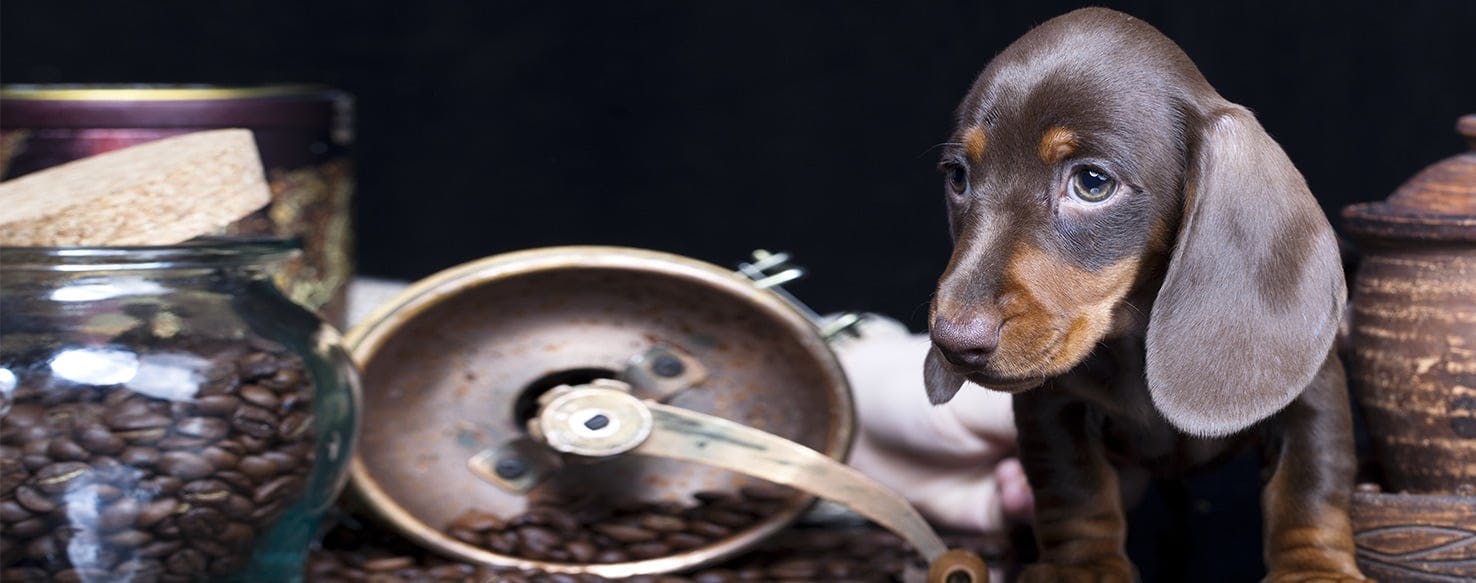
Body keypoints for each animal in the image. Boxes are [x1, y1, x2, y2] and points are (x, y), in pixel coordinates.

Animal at [926, 6, 1363, 581]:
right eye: (958, 176)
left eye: (1092, 182)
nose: (953, 341)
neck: (1133, 338)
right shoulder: (1054, 406)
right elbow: (1073, 489)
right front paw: (1083, 566)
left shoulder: (1314, 395)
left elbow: (1311, 483)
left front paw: (1315, 566)